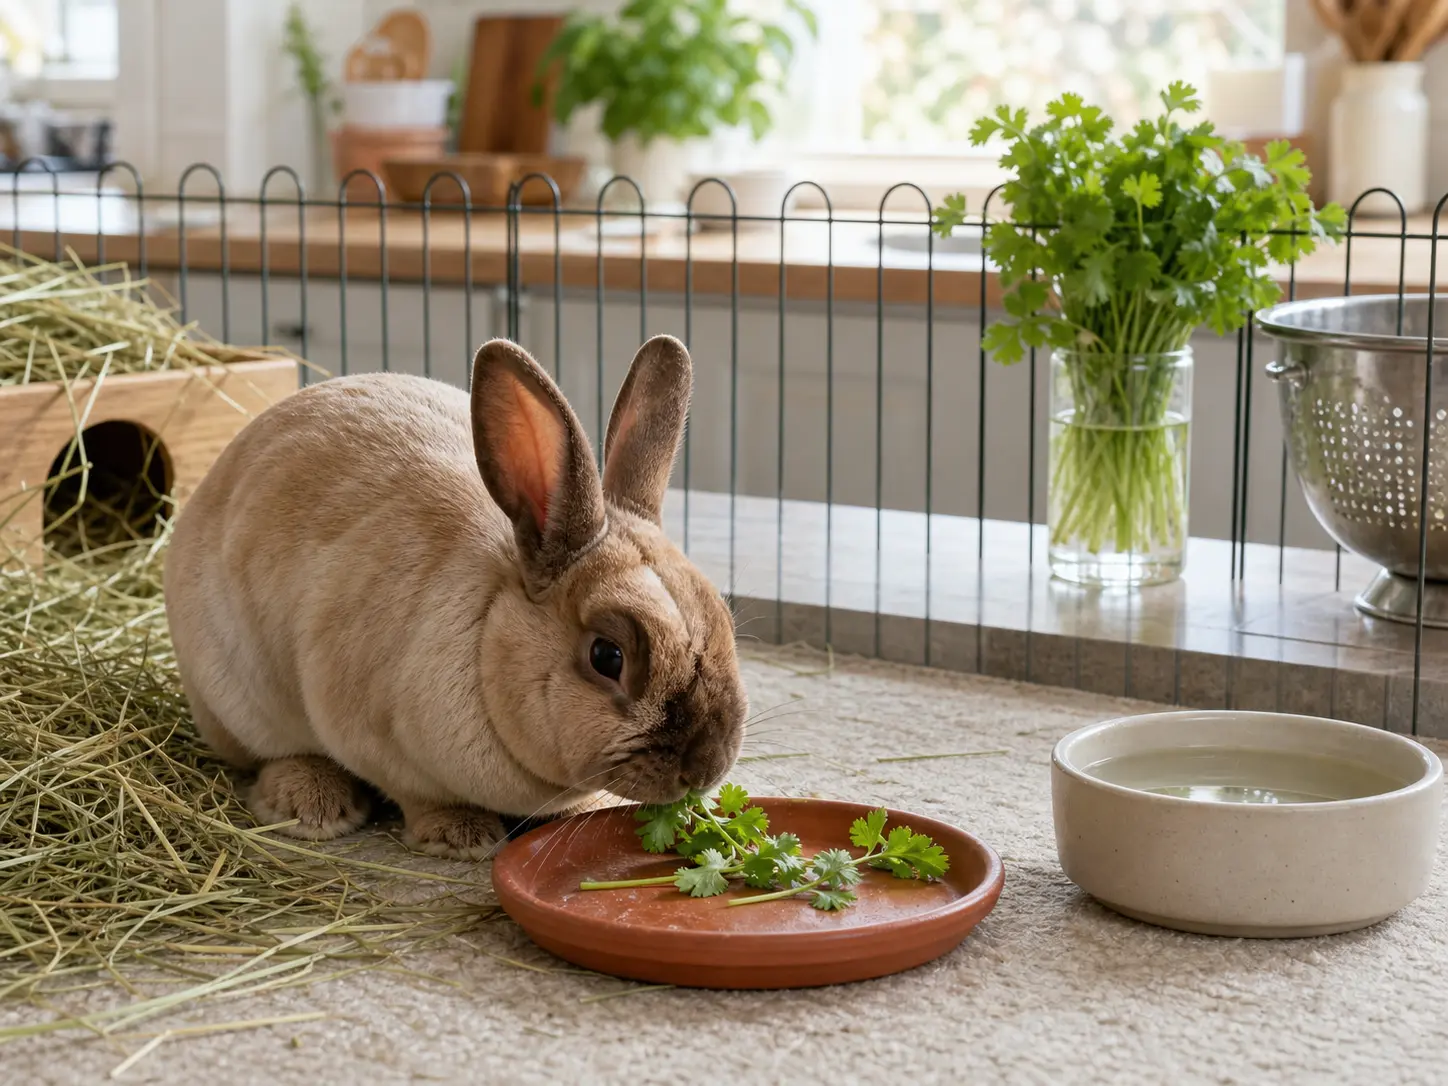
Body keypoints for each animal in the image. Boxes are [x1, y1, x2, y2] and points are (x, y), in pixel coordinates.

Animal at [163, 334, 748, 859]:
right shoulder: (373, 738)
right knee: (268, 755)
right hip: (235, 699)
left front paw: (587, 808)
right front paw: (461, 837)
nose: (707, 767)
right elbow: (422, 798)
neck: (491, 636)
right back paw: (313, 805)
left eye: (725, 621)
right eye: (608, 656)